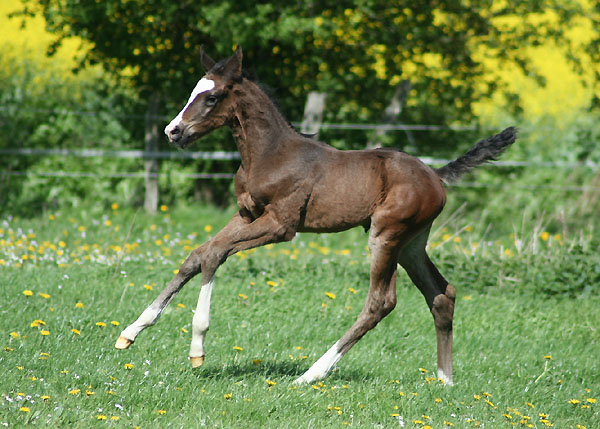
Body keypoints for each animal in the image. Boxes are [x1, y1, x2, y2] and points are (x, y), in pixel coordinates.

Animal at [116, 47, 516, 384]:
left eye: (211, 97)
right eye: (192, 93)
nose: (173, 131)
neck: (269, 154)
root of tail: (436, 175)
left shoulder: (281, 225)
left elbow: (214, 254)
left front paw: (197, 346)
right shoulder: (246, 215)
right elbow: (196, 256)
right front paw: (131, 331)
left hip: (387, 235)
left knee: (380, 302)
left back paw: (311, 374)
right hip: (412, 243)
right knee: (442, 294)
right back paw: (445, 380)